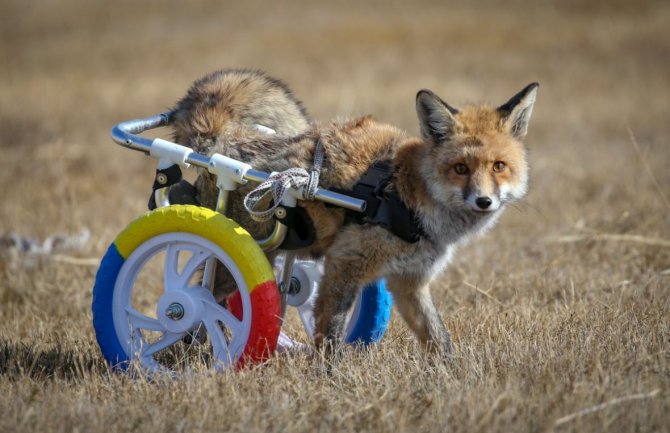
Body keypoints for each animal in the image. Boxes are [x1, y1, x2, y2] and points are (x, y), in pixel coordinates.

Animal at [171, 69, 540, 354]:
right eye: (460, 168)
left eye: (499, 166)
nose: (484, 201)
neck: (408, 196)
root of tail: (223, 144)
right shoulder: (345, 265)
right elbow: (330, 339)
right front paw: (327, 383)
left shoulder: (409, 282)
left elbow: (439, 338)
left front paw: (452, 378)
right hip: (230, 259)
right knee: (198, 298)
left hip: (268, 255)